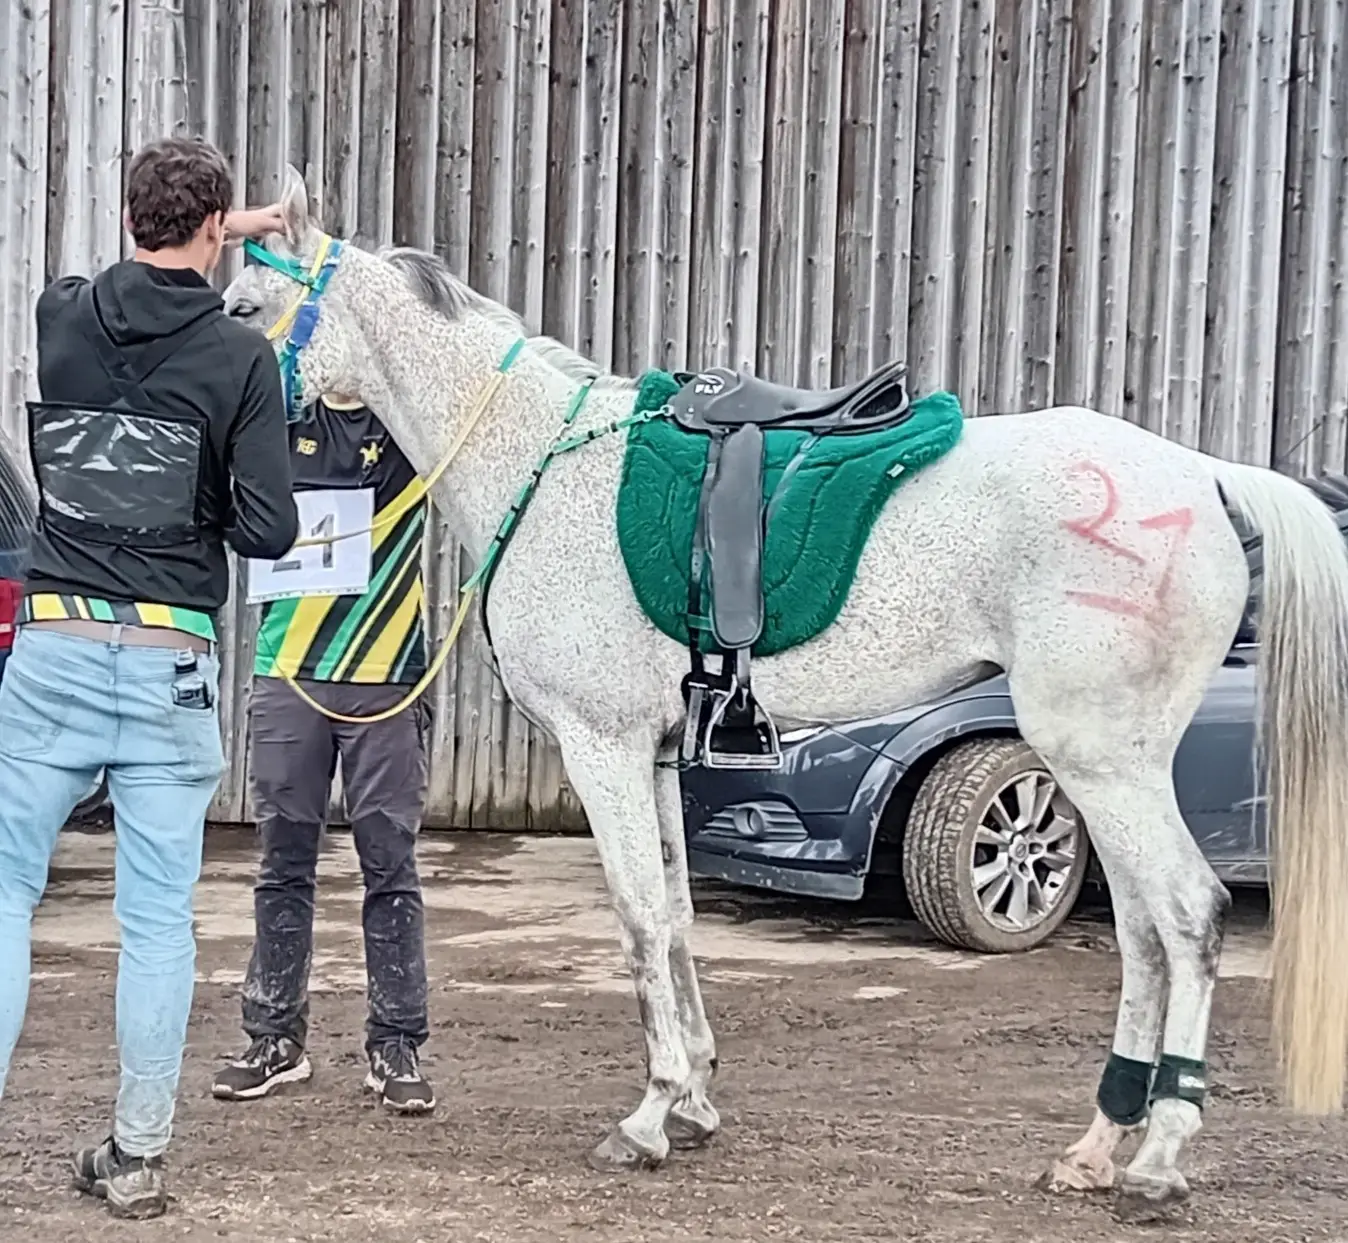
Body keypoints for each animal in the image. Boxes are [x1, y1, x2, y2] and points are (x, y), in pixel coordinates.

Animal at [222, 165, 1348, 1215]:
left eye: (239, 306)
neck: (543, 463)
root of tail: (1203, 476)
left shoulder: (601, 745)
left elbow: (637, 916)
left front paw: (649, 1115)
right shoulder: (658, 755)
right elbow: (677, 913)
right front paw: (695, 1097)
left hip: (1099, 758)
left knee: (1188, 916)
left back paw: (1157, 1157)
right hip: (1105, 770)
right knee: (1144, 935)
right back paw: (1099, 1145)